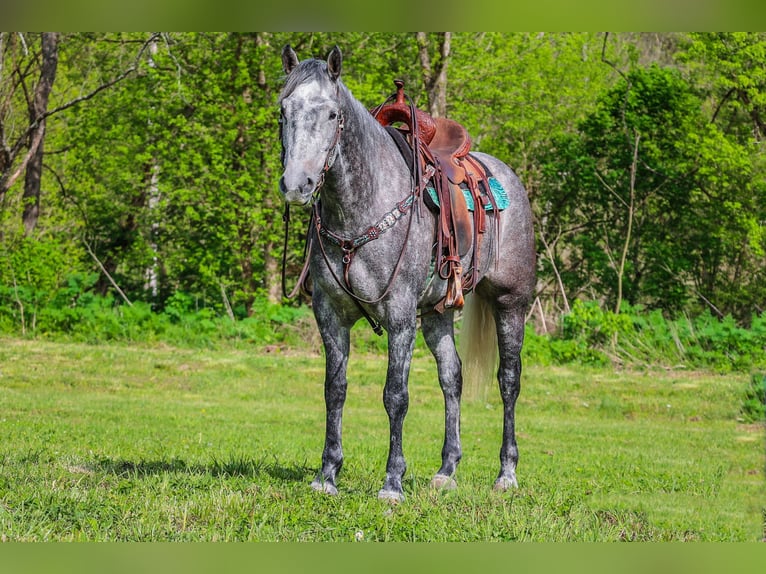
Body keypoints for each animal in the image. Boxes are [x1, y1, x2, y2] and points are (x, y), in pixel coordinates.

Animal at [280, 46, 536, 504]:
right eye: (283, 110)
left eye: (331, 114)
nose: (297, 184)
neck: (362, 207)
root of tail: (505, 176)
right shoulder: (330, 314)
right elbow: (335, 390)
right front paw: (327, 475)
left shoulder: (399, 316)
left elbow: (395, 395)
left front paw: (392, 482)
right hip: (437, 313)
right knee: (452, 377)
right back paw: (446, 470)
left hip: (511, 302)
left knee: (509, 380)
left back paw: (506, 473)